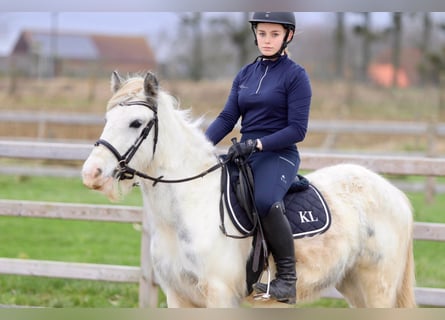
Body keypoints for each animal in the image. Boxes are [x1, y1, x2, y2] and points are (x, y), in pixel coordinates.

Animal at [80, 70, 416, 308]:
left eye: (136, 123)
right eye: (108, 118)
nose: (91, 174)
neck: (188, 209)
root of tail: (392, 192)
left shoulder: (219, 296)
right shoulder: (179, 297)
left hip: (378, 289)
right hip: (354, 285)